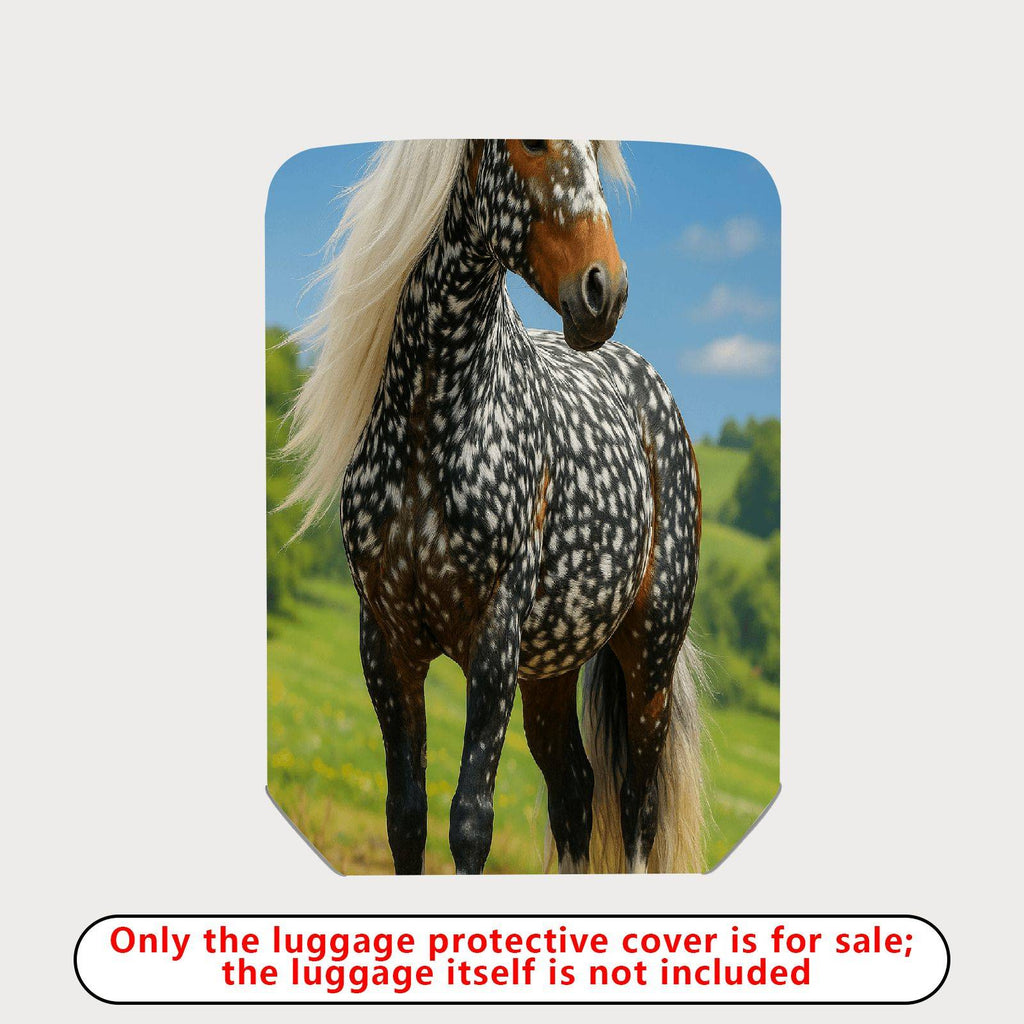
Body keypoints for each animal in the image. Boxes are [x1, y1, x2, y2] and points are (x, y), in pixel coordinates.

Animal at [283, 140, 704, 875]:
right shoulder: (386, 643)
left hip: (648, 658)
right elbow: (407, 818)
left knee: (637, 808)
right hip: (551, 670)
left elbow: (471, 822)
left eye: (596, 151)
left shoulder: (494, 640)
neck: (433, 419)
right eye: (531, 142)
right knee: (574, 792)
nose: (605, 291)